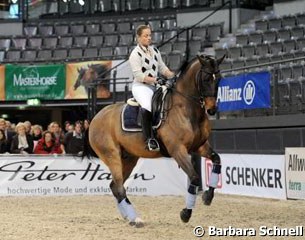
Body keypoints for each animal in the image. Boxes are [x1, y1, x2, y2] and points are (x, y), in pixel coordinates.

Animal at [82, 54, 223, 227]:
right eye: (205, 78)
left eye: (219, 79)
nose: (212, 109)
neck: (185, 108)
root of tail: (96, 117)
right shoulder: (178, 150)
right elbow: (195, 178)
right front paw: (186, 213)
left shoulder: (199, 146)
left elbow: (216, 160)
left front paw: (208, 197)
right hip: (112, 155)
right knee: (119, 187)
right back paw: (135, 219)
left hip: (129, 158)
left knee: (115, 186)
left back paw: (129, 217)